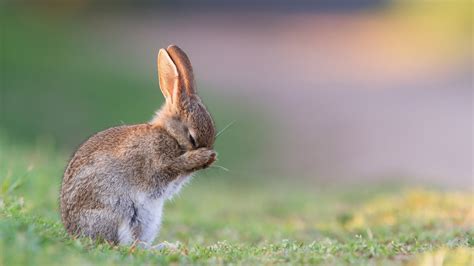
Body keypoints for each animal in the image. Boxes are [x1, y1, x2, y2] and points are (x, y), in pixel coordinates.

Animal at [59, 44, 217, 247]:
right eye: (192, 138)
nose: (210, 156)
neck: (169, 133)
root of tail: (74, 232)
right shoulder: (157, 162)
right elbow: (170, 167)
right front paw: (202, 157)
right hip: (118, 213)